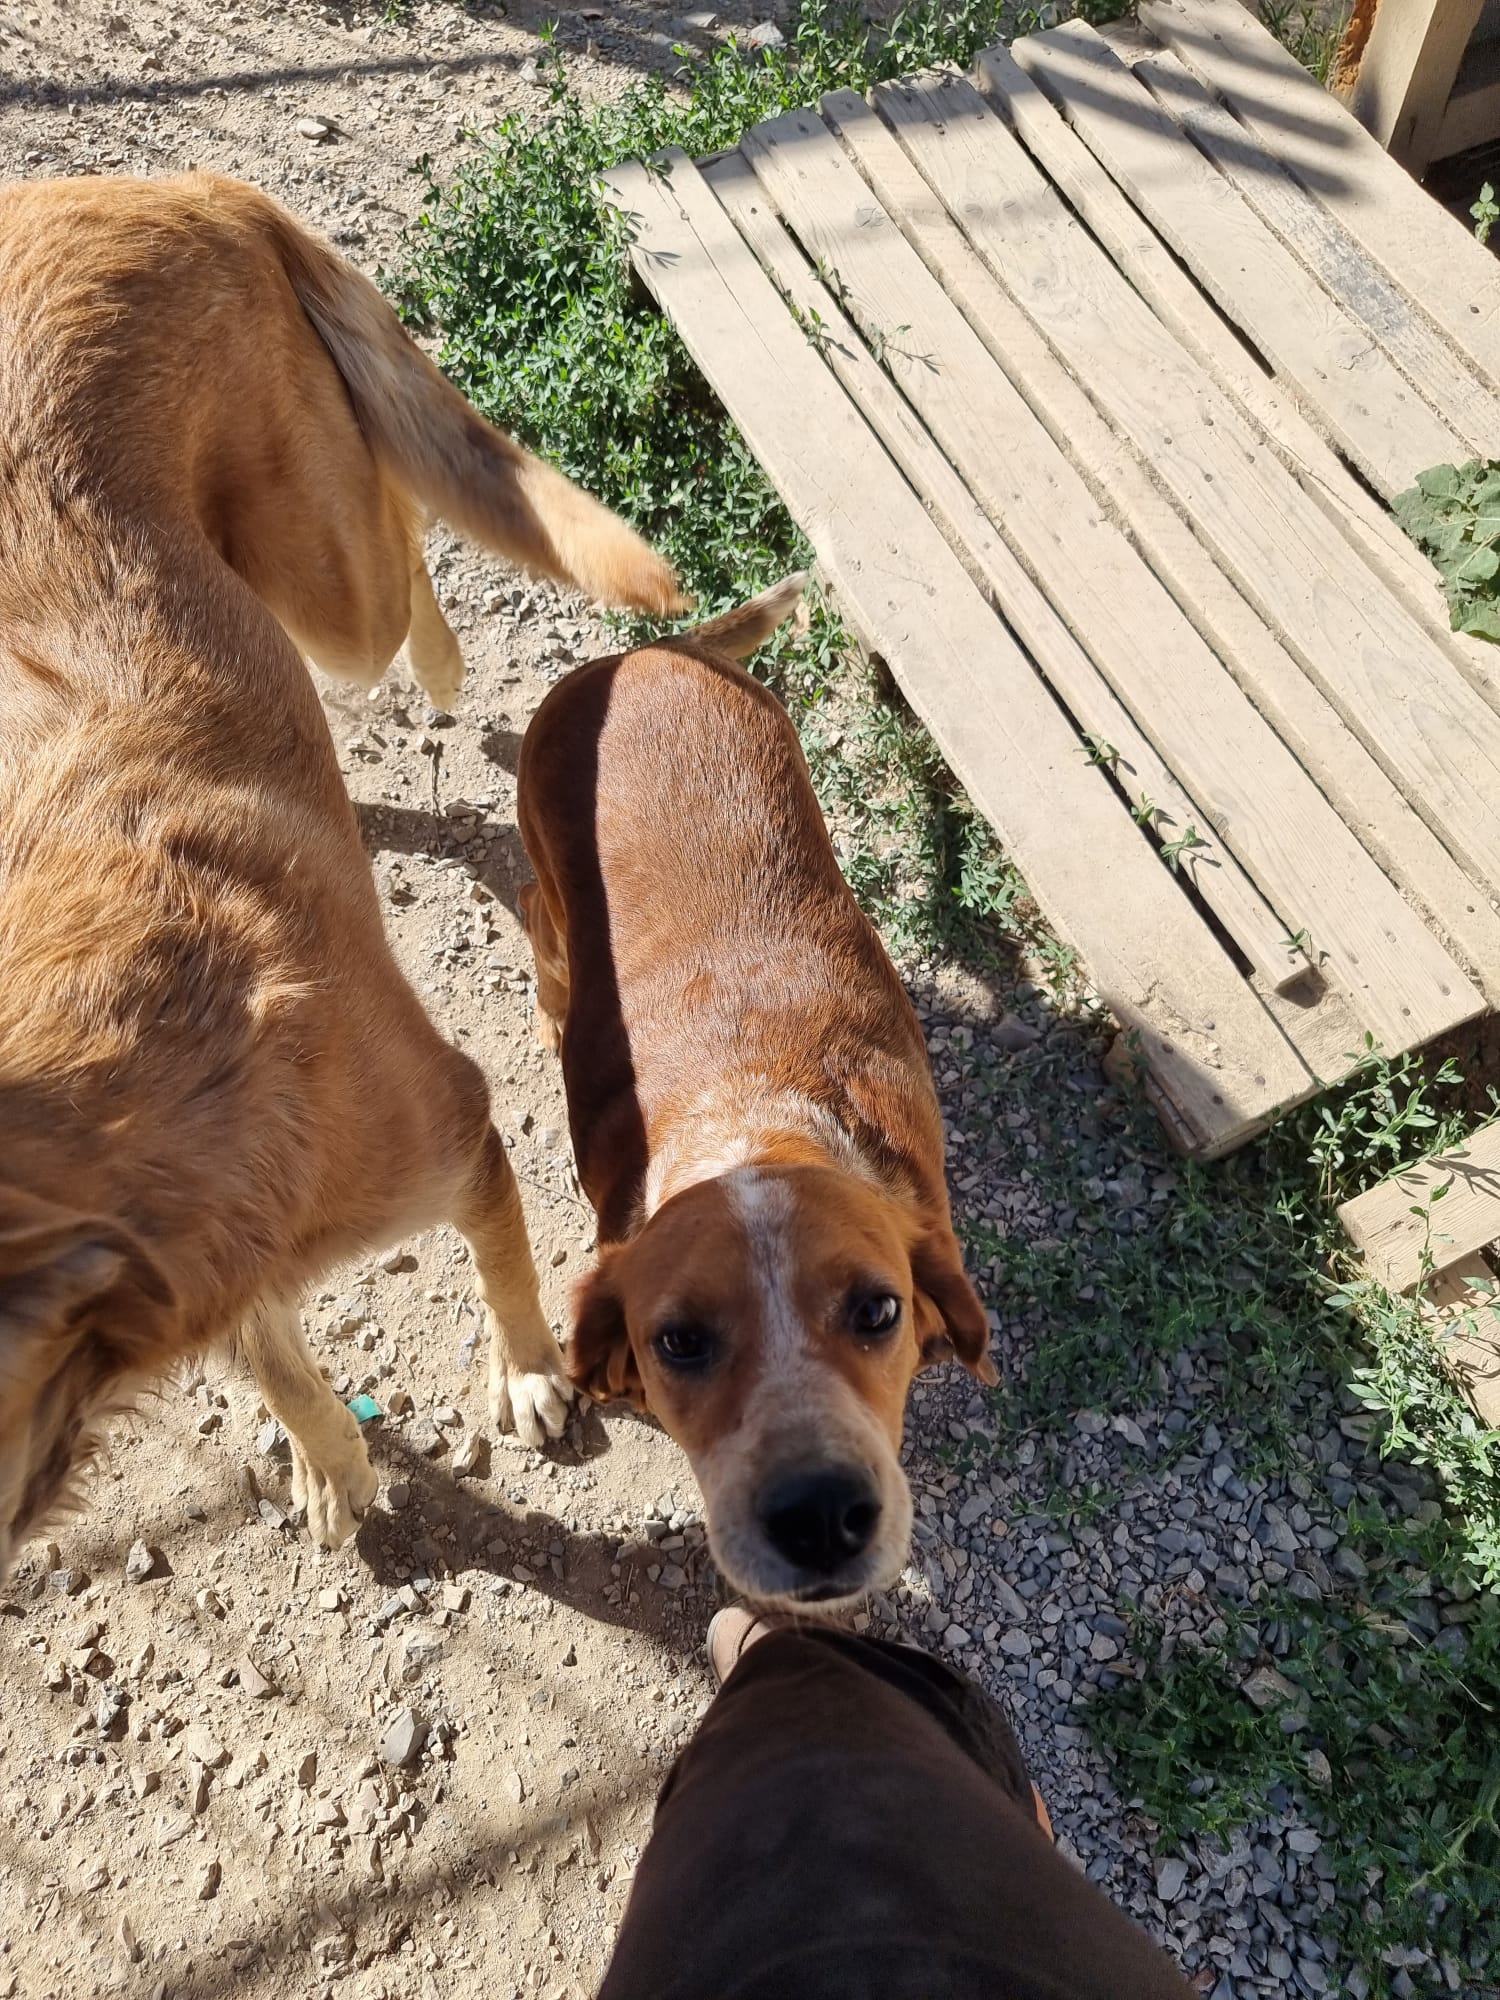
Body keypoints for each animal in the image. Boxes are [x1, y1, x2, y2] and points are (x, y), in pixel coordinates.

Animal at [0, 171, 687, 1580]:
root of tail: (170, 183)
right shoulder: (217, 1281)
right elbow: (274, 1358)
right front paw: (329, 1459)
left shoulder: (464, 1130)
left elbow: (507, 1263)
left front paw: (526, 1370)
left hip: (325, 582)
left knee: (403, 541)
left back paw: (440, 661)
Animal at [516, 577, 998, 1609]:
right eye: (679, 1343)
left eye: (879, 1312)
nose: (820, 1515)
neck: (757, 1123)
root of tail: (655, 652)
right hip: (547, 878)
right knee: (540, 922)